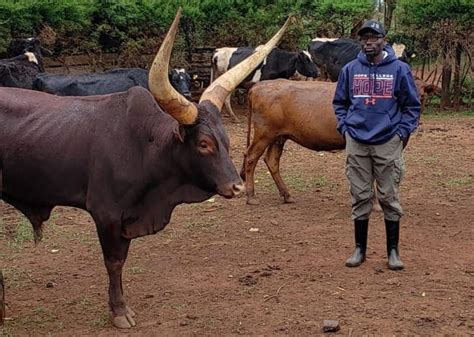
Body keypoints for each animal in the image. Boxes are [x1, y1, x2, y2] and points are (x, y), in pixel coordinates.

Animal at [0, 9, 290, 326]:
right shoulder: (107, 214)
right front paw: (119, 311)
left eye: (225, 139)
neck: (145, 149)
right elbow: (114, 262)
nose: (237, 186)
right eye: (203, 144)